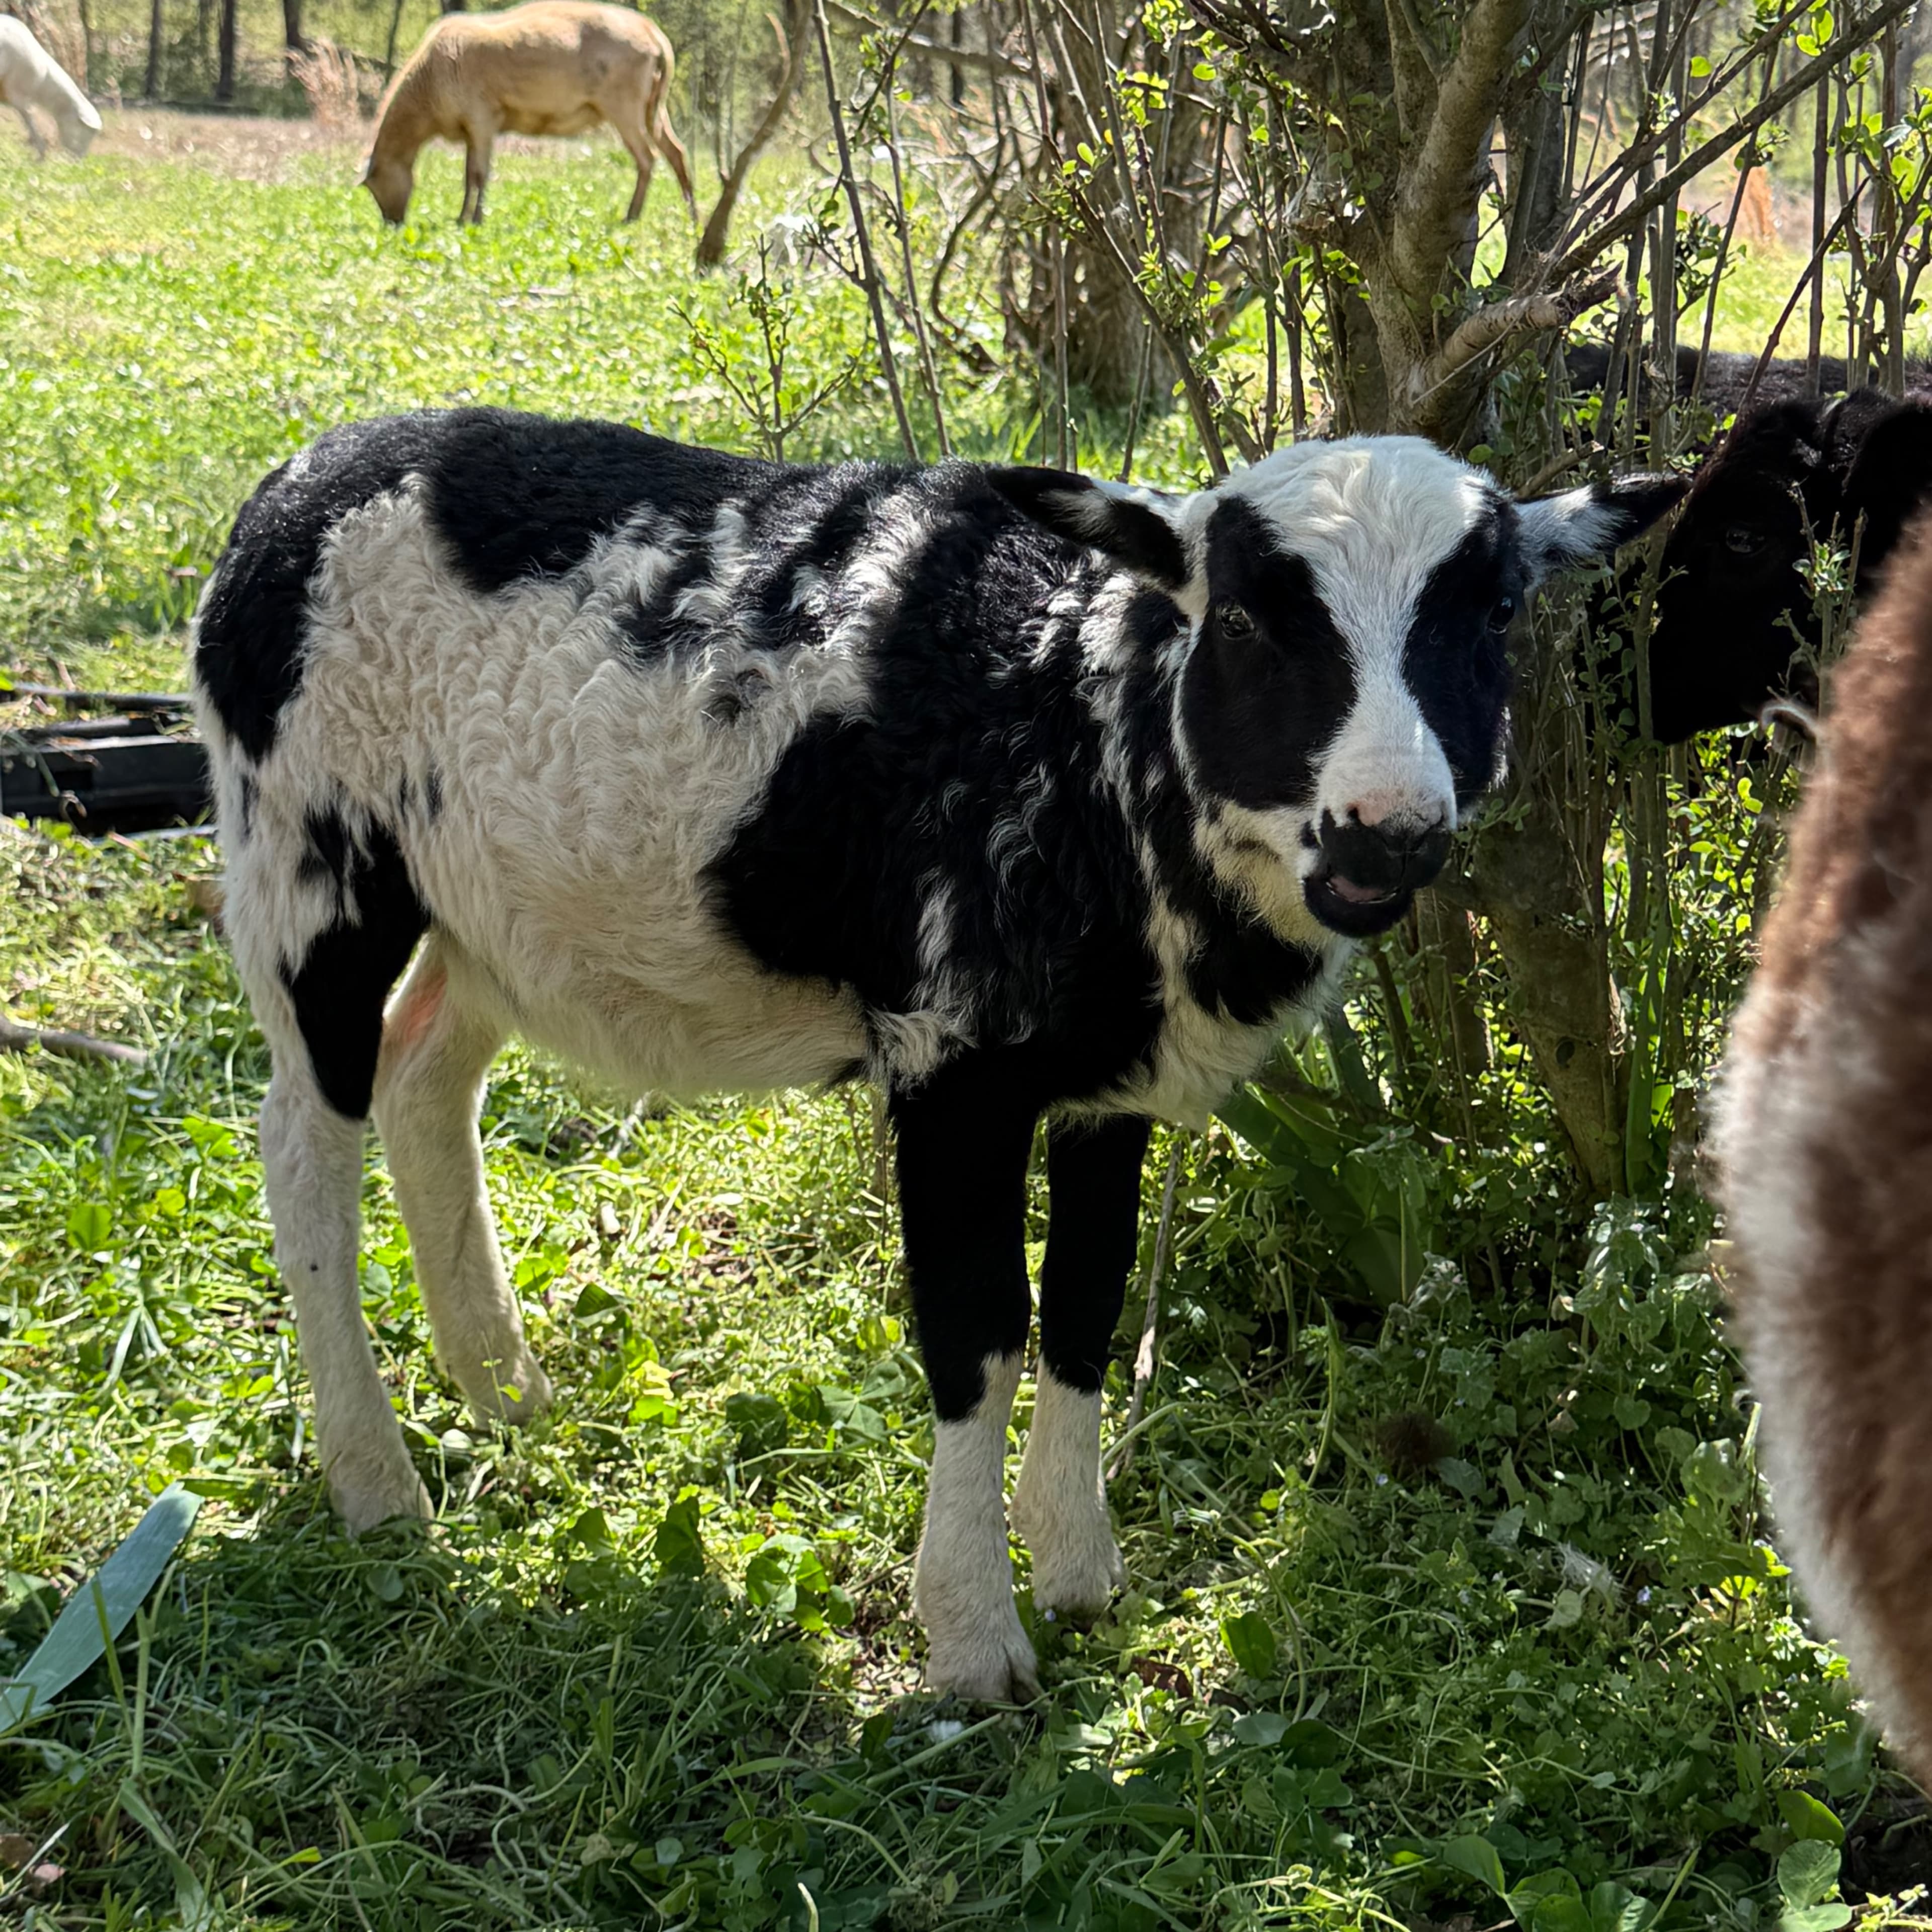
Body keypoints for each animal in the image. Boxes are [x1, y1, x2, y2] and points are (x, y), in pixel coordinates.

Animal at [191, 409, 1680, 1701]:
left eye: (1490, 618)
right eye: (1252, 619)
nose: (1388, 832)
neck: (1089, 723)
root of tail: (293, 486)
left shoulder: (1106, 1077)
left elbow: (1081, 1306)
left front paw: (1079, 1576)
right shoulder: (952, 1060)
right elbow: (978, 1332)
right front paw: (974, 1638)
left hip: (489, 908)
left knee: (424, 1077)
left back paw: (505, 1392)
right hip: (307, 857)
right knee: (305, 1150)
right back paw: (378, 1483)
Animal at [362, 0, 695, 227]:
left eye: (374, 186)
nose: (393, 224)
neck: (428, 85)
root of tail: (655, 36)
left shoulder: (482, 119)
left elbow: (479, 174)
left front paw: (473, 220)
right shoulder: (473, 129)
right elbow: (469, 175)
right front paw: (463, 217)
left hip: (624, 107)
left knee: (648, 158)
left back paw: (632, 216)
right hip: (654, 107)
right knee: (677, 153)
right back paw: (693, 215)